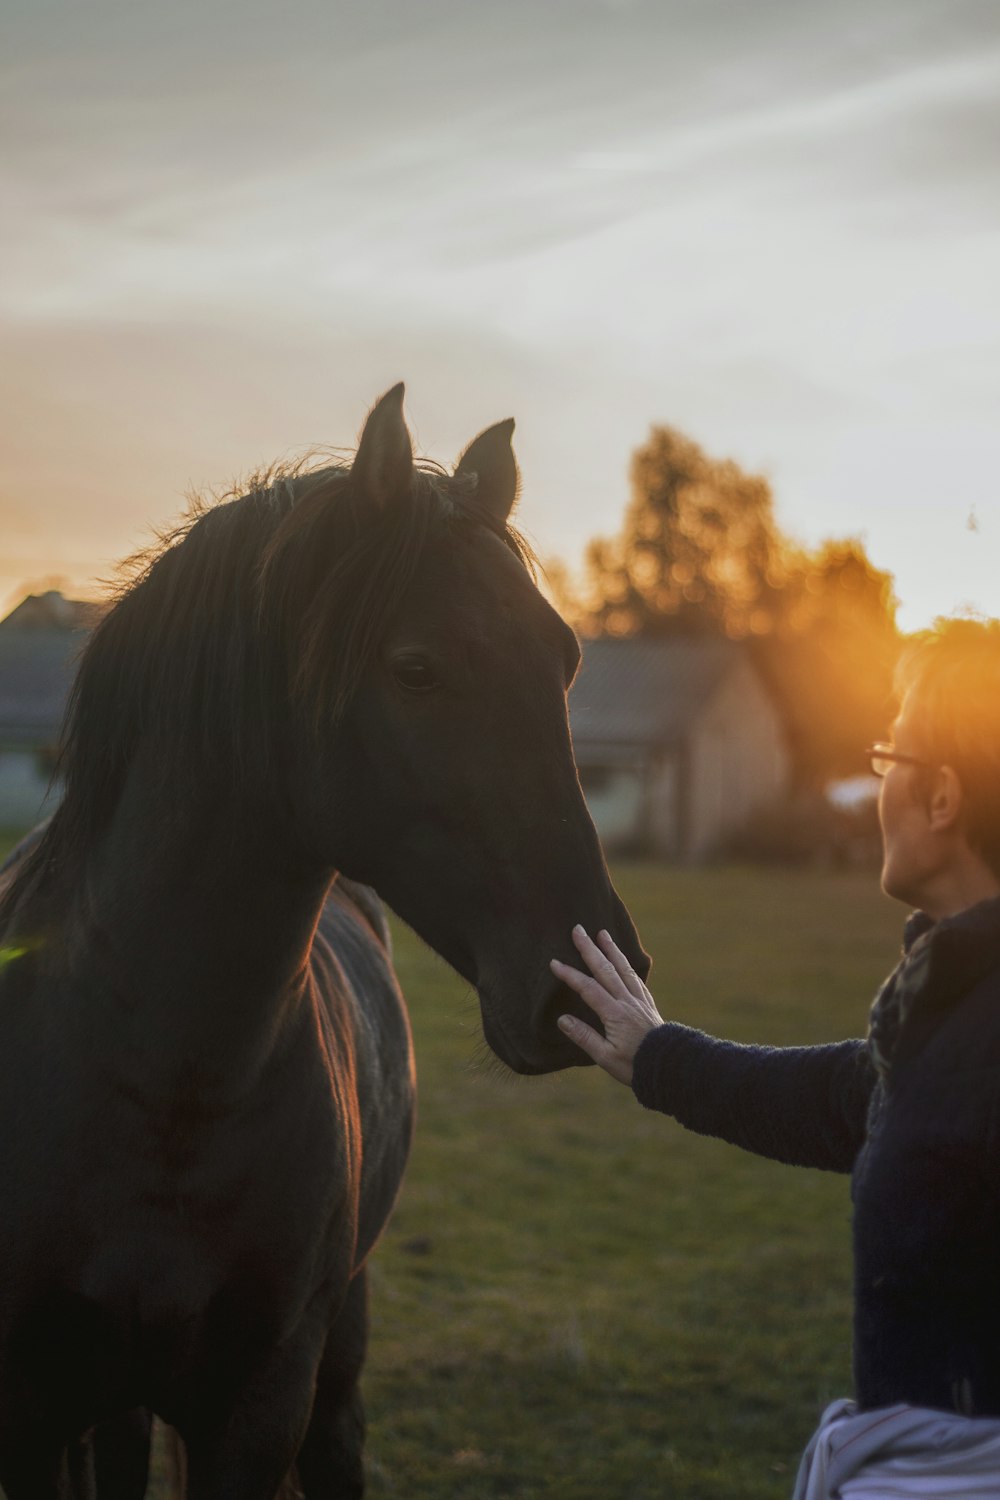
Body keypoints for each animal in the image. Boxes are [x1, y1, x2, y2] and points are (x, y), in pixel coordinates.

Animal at [0, 390, 650, 1500]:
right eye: (416, 667)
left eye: (563, 659)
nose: (582, 984)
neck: (161, 1081)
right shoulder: (33, 1414)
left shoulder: (261, 1401)